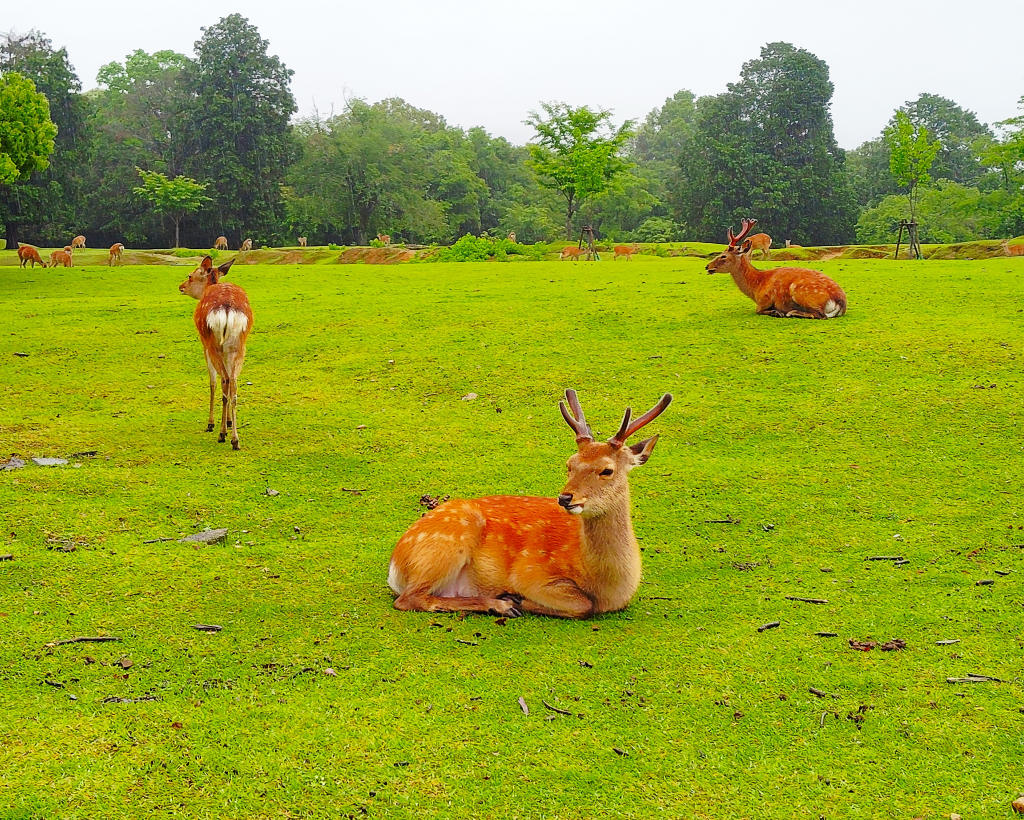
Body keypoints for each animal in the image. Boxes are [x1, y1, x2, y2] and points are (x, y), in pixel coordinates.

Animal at [178, 256, 253, 450]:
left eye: (190, 275)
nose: (181, 287)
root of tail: (226, 310)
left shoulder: (203, 343)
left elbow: (212, 382)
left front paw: (211, 423)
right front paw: (228, 421)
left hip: (214, 344)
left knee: (224, 380)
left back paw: (222, 434)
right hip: (238, 345)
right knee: (233, 383)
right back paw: (234, 438)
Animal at [388, 388, 672, 619]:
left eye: (607, 470)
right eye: (569, 464)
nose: (565, 498)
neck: (610, 586)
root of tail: (395, 566)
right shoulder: (530, 572)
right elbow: (583, 605)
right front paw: (516, 599)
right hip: (449, 541)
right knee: (410, 599)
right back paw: (501, 605)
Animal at [706, 219, 846, 319]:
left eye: (723, 256)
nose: (707, 266)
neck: (756, 287)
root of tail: (841, 303)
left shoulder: (764, 300)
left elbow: (758, 310)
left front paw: (776, 312)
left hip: (802, 292)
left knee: (820, 315)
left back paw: (790, 312)